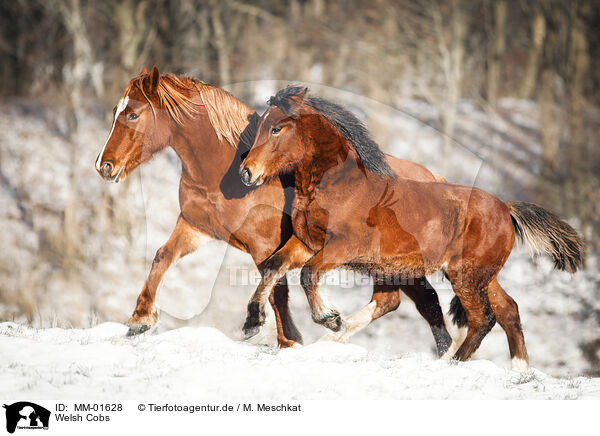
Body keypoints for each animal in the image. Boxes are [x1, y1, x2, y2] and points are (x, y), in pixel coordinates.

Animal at [96, 67, 454, 354]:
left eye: (132, 115)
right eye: (116, 111)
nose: (104, 165)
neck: (223, 174)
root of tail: (436, 179)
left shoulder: (268, 244)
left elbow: (276, 289)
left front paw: (285, 338)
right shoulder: (196, 227)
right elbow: (162, 256)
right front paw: (140, 320)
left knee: (411, 302)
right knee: (409, 301)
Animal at [240, 86, 584, 372]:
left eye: (276, 128)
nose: (247, 173)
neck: (339, 186)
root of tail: (506, 208)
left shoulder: (342, 247)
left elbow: (307, 274)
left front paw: (331, 319)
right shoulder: (306, 242)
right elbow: (273, 265)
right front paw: (252, 322)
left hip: (466, 274)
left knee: (482, 319)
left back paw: (451, 363)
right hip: (479, 275)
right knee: (507, 310)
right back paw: (519, 370)